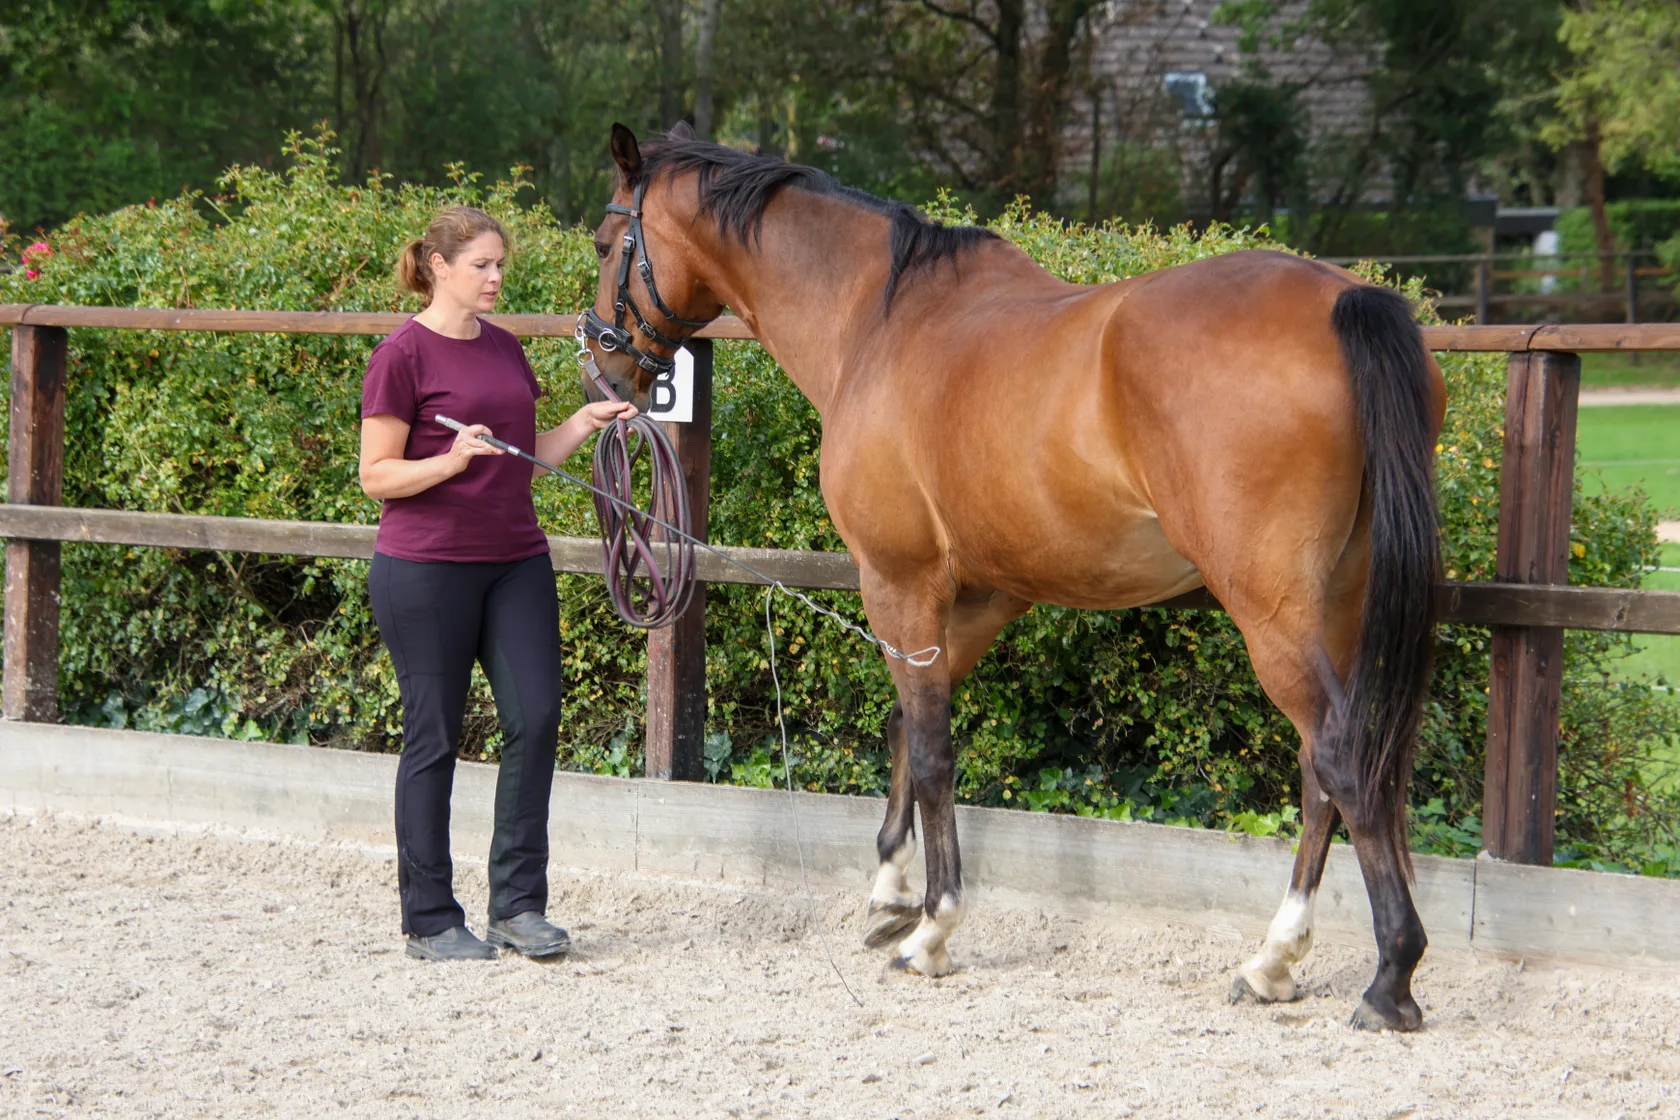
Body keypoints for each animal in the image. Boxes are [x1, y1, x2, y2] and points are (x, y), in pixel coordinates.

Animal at [576, 123, 1445, 1032]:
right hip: (1337, 605)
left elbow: (932, 750)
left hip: (1272, 613)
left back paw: (1389, 976)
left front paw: (932, 929)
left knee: (1341, 758)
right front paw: (891, 894)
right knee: (1322, 773)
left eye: (605, 241)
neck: (878, 321)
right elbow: (907, 724)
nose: (603, 371)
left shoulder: (899, 581)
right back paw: (1274, 958)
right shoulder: (986, 594)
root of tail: (1342, 300)